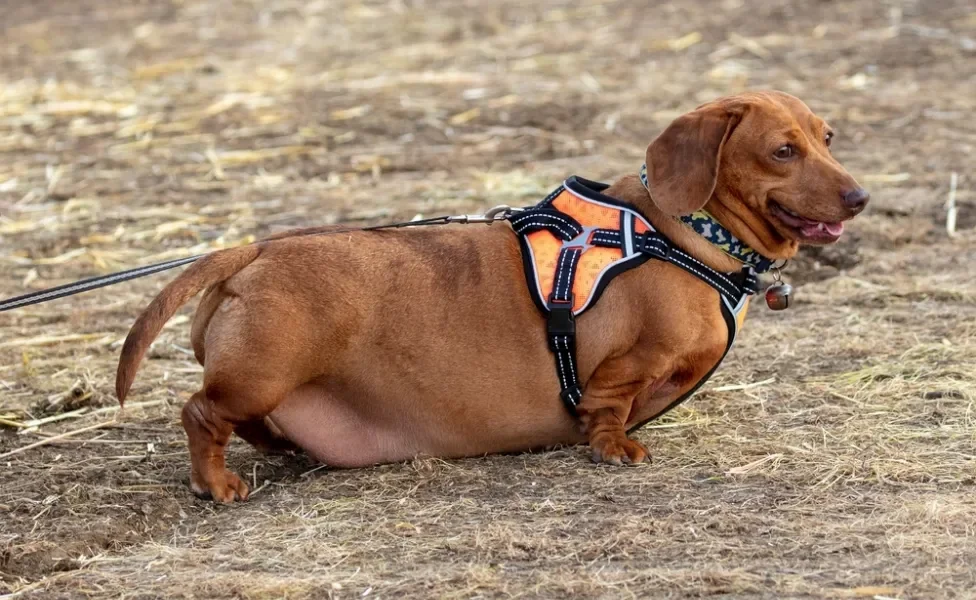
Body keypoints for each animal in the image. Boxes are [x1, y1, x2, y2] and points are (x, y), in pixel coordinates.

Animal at [114, 90, 868, 502]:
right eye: (782, 150)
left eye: (829, 138)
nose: (861, 197)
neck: (680, 231)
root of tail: (256, 250)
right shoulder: (623, 366)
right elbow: (609, 408)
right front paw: (614, 447)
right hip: (260, 373)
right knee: (201, 414)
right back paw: (217, 483)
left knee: (241, 421)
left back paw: (276, 447)